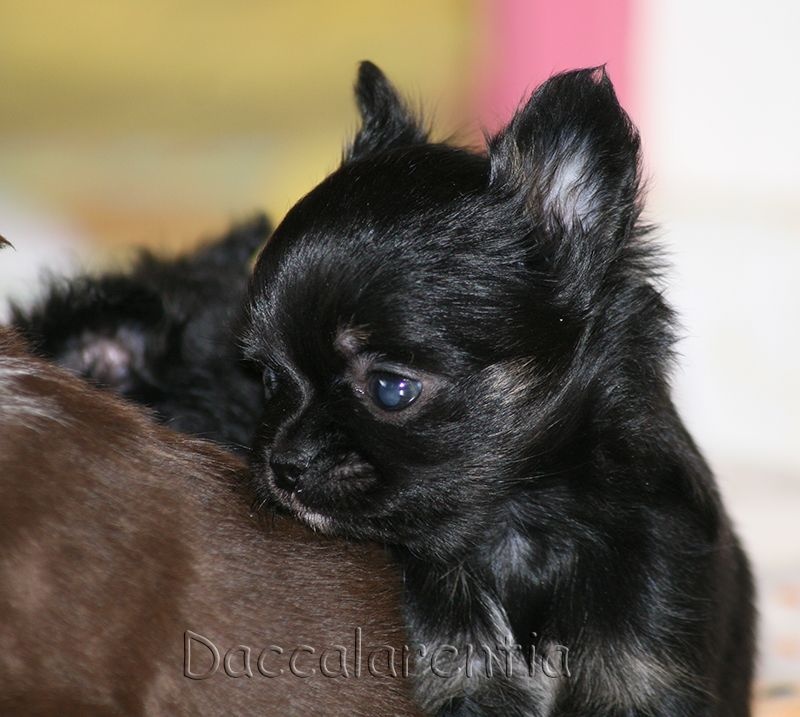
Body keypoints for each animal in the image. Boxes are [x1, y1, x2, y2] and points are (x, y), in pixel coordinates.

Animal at [242, 62, 755, 715]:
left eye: (390, 390)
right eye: (269, 379)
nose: (284, 465)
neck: (521, 525)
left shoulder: (642, 669)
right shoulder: (462, 675)